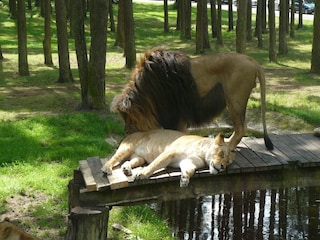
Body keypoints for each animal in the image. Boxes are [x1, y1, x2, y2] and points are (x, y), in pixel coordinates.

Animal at [101, 129, 234, 188]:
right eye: (222, 154)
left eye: (228, 163)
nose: (222, 167)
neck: (203, 152)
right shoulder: (169, 152)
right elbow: (154, 165)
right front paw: (142, 174)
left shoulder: (188, 161)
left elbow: (190, 170)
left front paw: (184, 179)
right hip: (126, 148)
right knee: (113, 159)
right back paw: (106, 168)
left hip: (139, 158)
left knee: (129, 161)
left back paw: (127, 169)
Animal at [111, 48, 274, 150]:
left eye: (127, 117)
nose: (126, 131)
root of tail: (252, 60)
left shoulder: (176, 116)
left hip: (235, 99)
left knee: (241, 127)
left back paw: (228, 146)